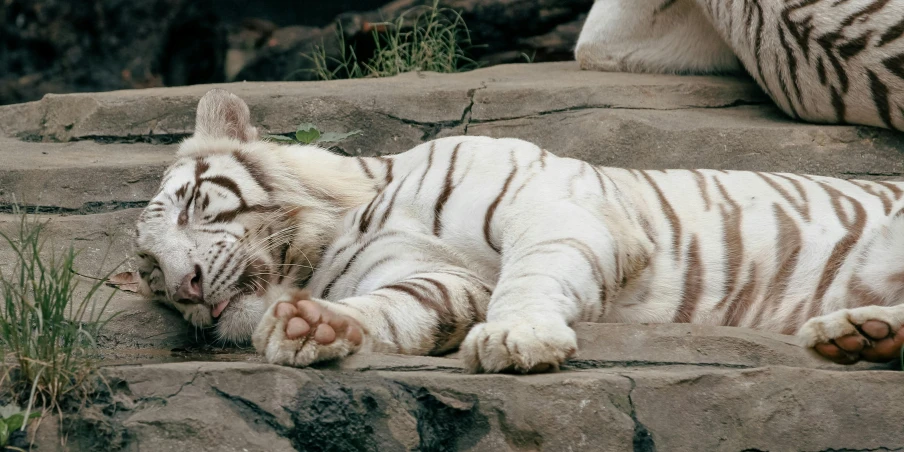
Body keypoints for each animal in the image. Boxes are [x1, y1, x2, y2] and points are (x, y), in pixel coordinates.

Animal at [134, 89, 904, 374]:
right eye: (150, 273)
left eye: (193, 203)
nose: (188, 286)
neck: (349, 218)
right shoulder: (441, 281)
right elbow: (400, 309)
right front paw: (312, 327)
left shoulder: (557, 207)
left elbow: (536, 270)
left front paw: (517, 338)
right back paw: (859, 336)